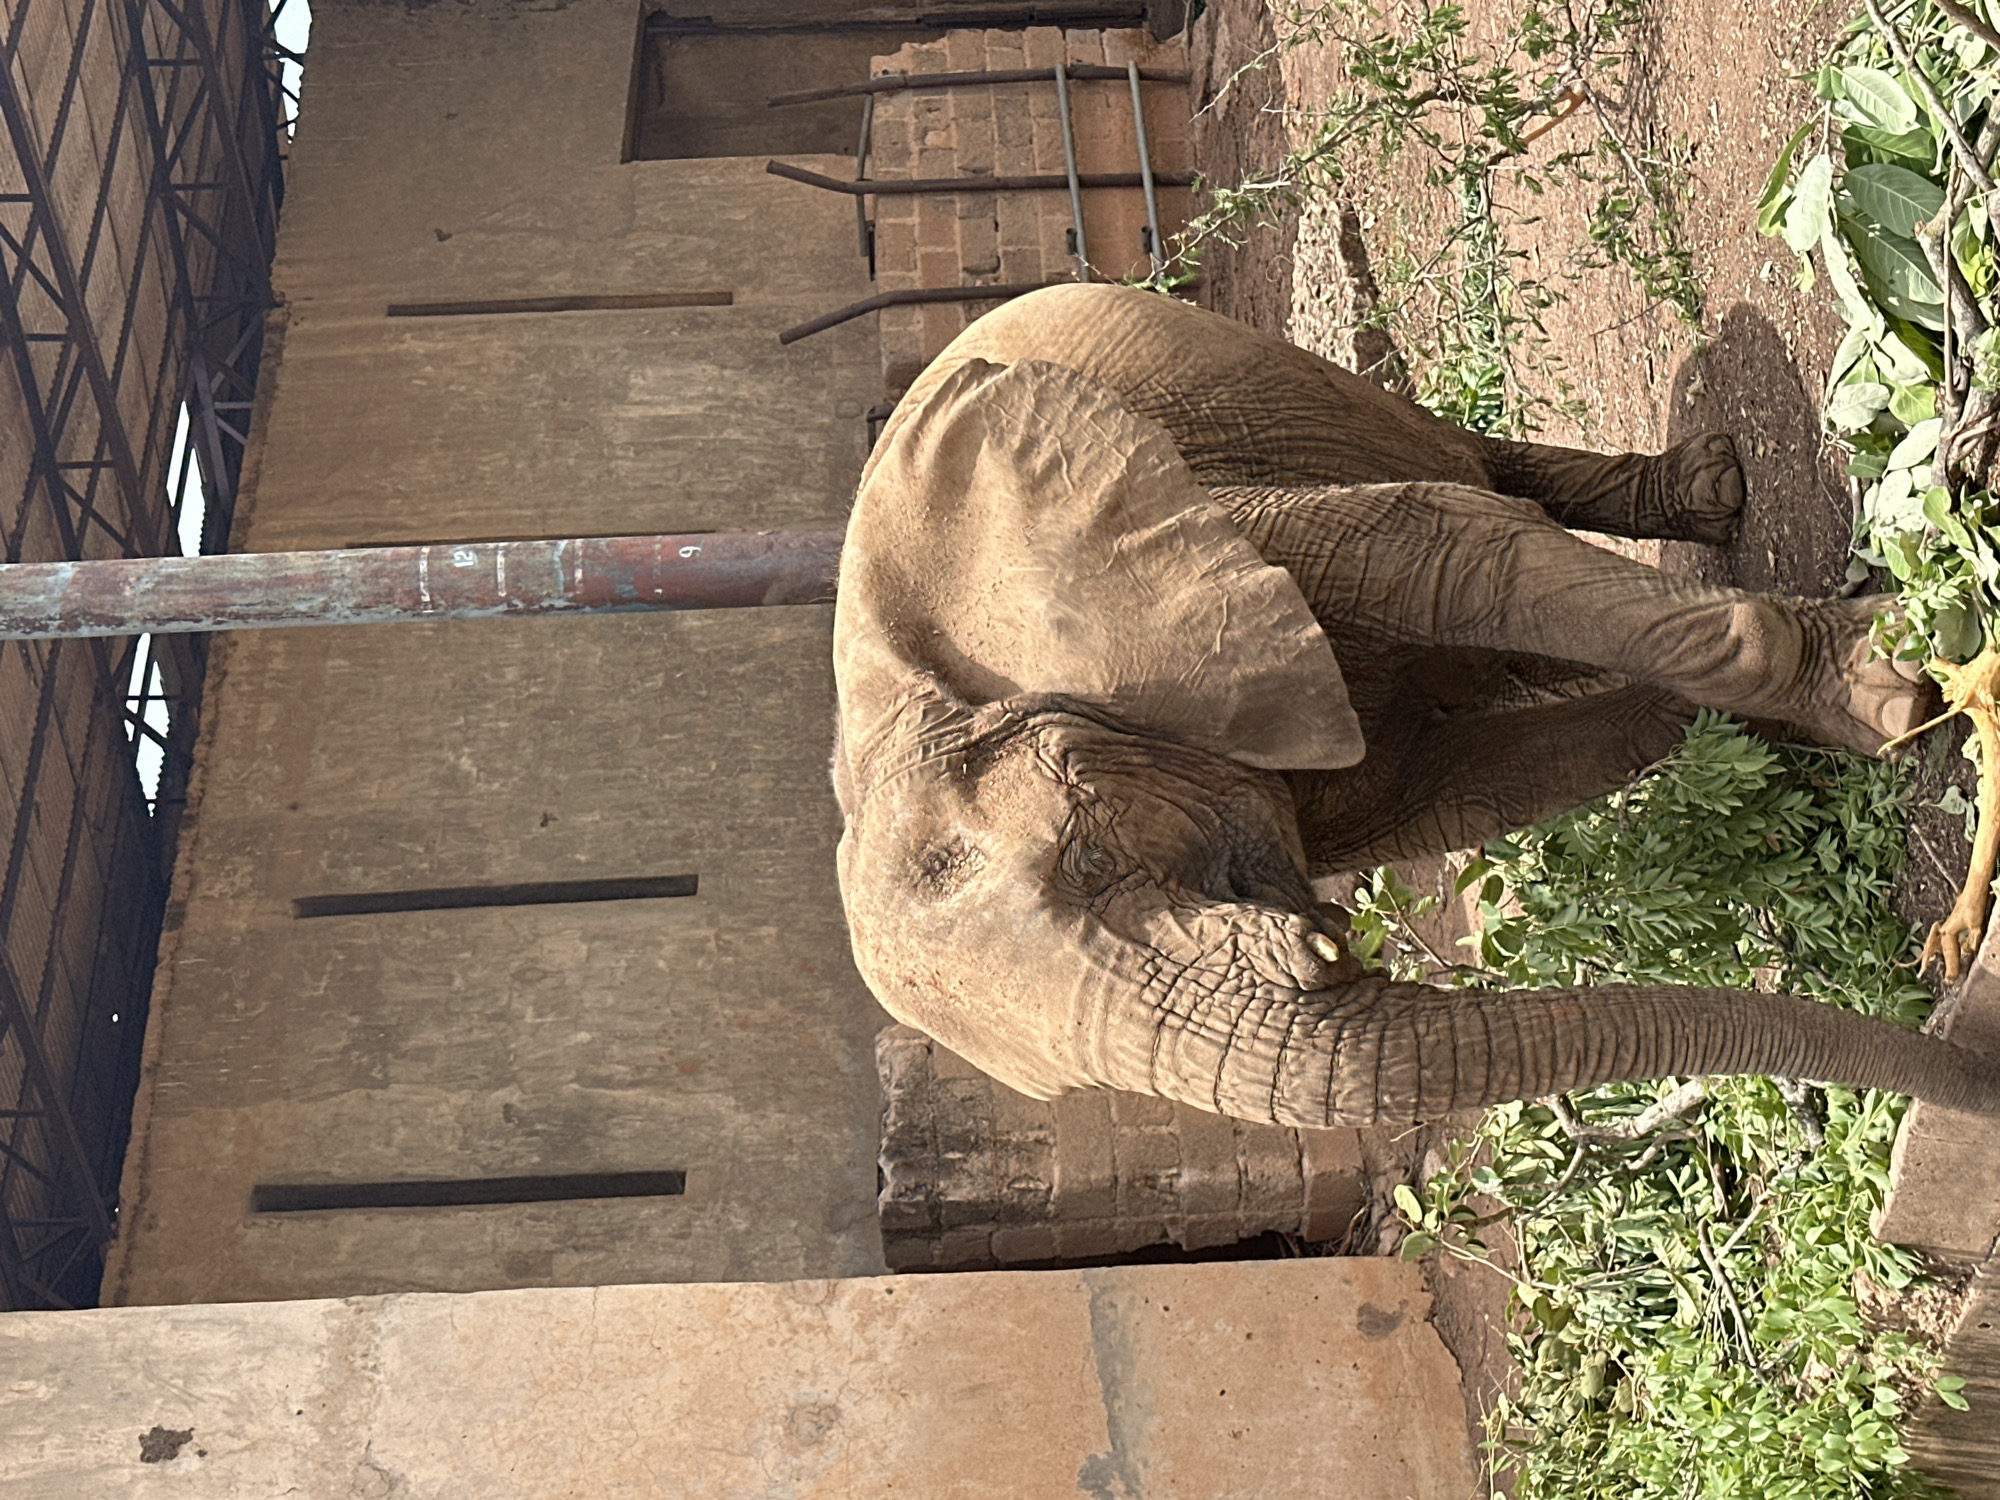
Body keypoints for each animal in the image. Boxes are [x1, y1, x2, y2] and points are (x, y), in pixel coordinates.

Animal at [830, 282, 2000, 1128]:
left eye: (1085, 844)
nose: (1948, 1008)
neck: (908, 707)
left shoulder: (1221, 533)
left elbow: (1448, 545)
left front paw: (1889, 683)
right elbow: (1479, 782)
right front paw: (1806, 718)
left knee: (1465, 464)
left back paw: (1711, 491)